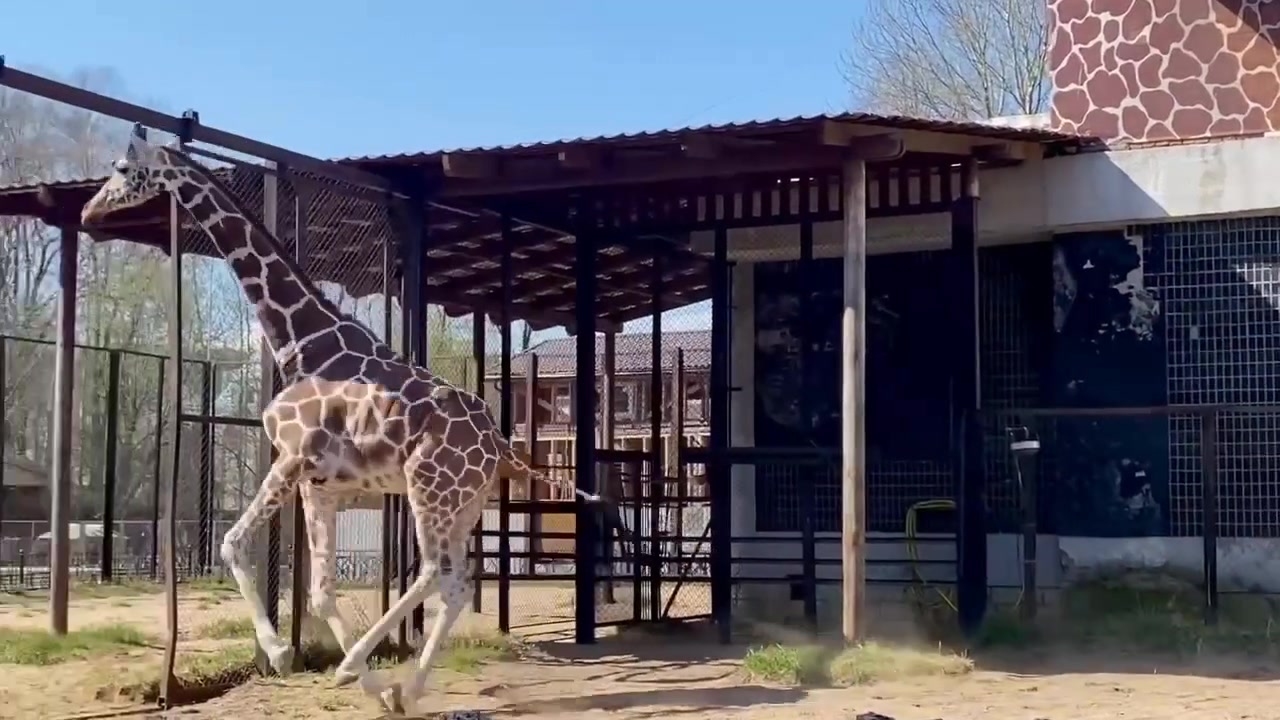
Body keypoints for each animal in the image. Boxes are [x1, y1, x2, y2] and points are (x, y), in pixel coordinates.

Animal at [81, 128, 609, 712]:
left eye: (122, 168)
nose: (88, 211)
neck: (300, 341)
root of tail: (499, 443)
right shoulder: (321, 484)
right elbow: (320, 589)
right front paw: (361, 680)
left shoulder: (292, 458)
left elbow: (232, 543)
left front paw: (286, 655)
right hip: (465, 505)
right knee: (456, 586)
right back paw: (404, 690)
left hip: (429, 490)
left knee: (432, 573)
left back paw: (363, 669)